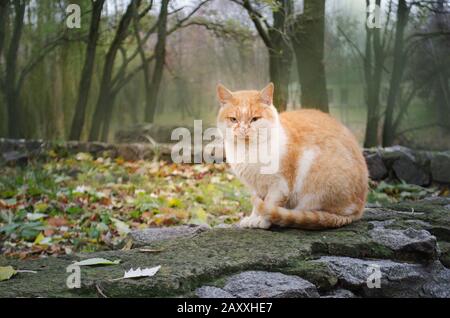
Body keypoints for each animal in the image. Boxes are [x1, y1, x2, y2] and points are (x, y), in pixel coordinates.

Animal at [216, 83, 368, 230]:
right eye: (233, 119)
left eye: (254, 119)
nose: (243, 129)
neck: (248, 151)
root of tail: (359, 210)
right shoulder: (256, 187)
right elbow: (257, 204)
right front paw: (253, 218)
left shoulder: (280, 185)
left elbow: (269, 204)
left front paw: (262, 221)